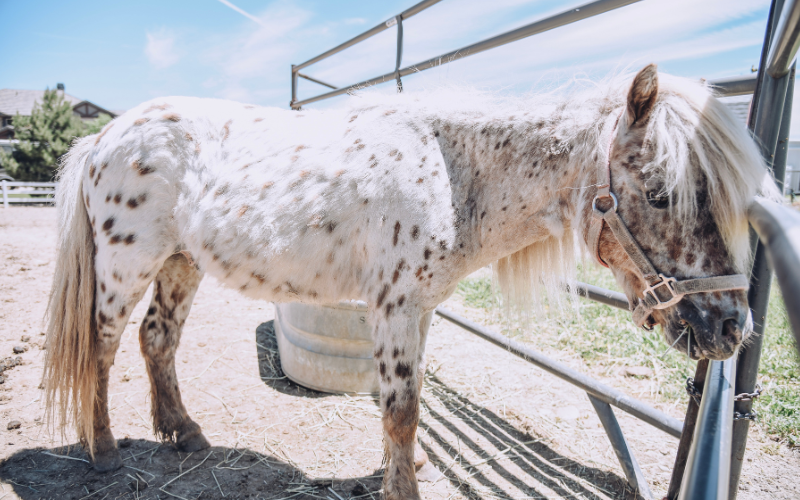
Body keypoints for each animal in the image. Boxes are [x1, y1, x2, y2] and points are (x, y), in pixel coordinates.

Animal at [45, 66, 780, 500]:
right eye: (661, 194)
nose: (730, 327)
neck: (451, 174)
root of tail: (105, 137)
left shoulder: (420, 311)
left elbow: (410, 400)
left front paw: (411, 467)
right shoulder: (395, 308)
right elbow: (400, 408)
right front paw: (403, 486)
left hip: (181, 263)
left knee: (158, 338)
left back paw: (184, 431)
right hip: (126, 268)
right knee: (104, 346)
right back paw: (104, 451)